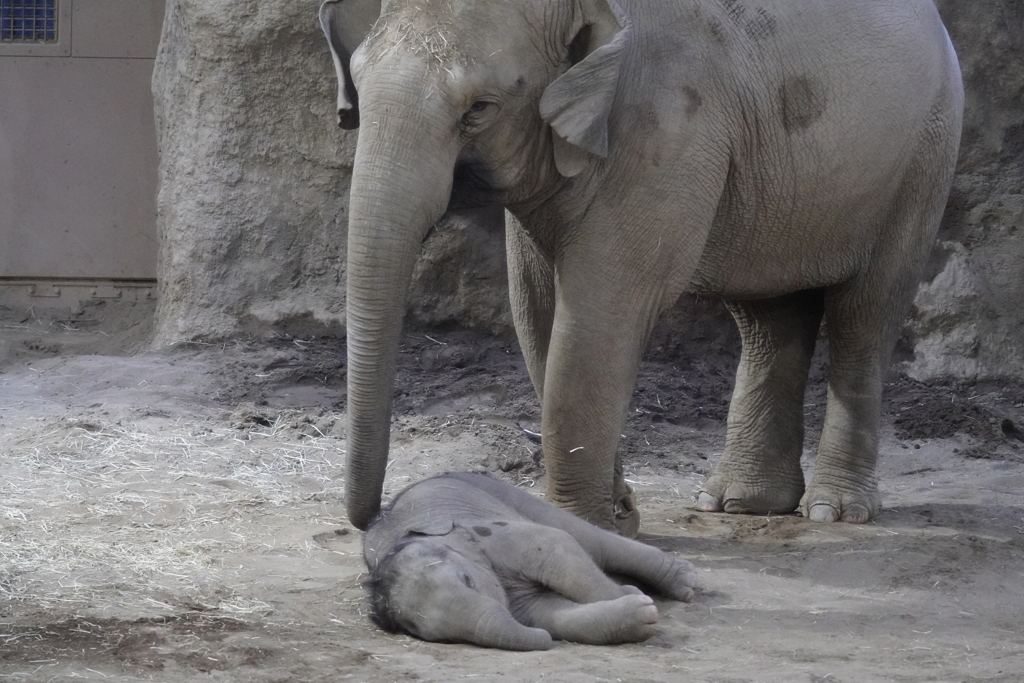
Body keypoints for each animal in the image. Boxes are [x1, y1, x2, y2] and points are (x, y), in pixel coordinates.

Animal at [319, 0, 958, 532]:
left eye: (478, 109)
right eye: (359, 94)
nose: (379, 516)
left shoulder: (669, 126)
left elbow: (601, 310)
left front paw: (588, 530)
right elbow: (537, 309)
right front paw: (618, 518)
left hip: (923, 157)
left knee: (866, 313)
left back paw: (833, 511)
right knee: (768, 317)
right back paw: (739, 503)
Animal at [360, 473, 696, 651]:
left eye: (468, 580)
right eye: (423, 633)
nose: (546, 643)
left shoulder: (491, 534)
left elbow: (555, 547)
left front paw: (634, 597)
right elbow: (550, 613)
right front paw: (642, 614)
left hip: (513, 497)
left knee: (591, 541)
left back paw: (684, 582)